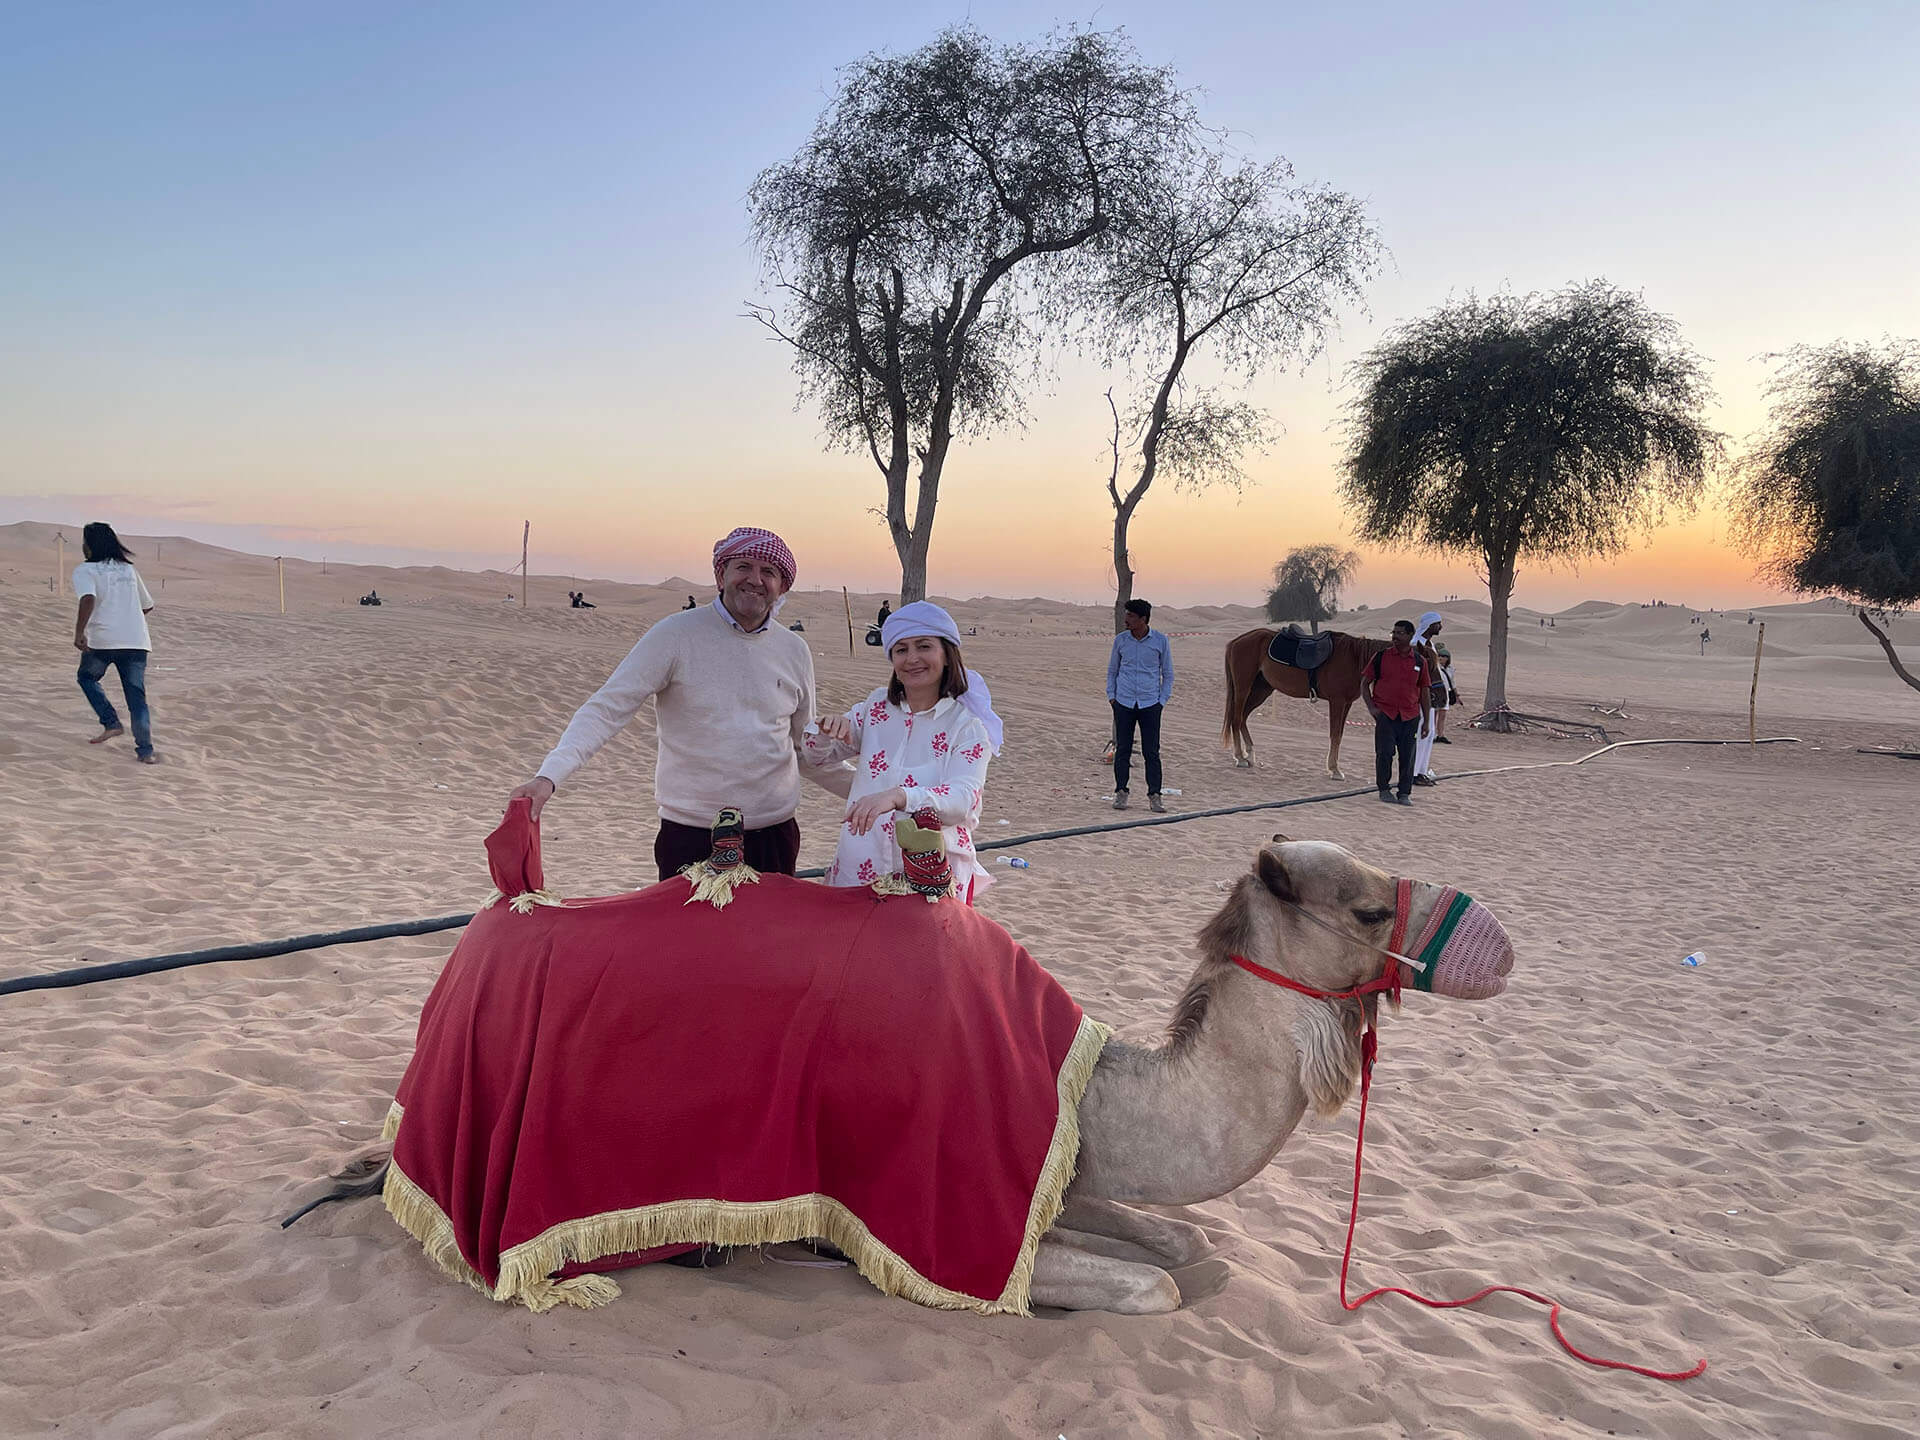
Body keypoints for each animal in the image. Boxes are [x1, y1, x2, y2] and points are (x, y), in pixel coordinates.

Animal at [288, 837, 1513, 1314]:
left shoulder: (1052, 1175)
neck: (1083, 1084)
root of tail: (475, 944)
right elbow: (1156, 1283)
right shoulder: (960, 1218)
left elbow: (1182, 1244)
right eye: (1369, 909)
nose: (1497, 946)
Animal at [1221, 628, 1390, 778]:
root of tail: (1236, 642)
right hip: (1243, 688)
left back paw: (1249, 755)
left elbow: (1340, 735)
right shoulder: (1337, 702)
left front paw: (1334, 767)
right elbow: (1335, 734)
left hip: (1261, 690)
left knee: (1243, 718)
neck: (1354, 658)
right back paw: (1240, 758)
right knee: (1236, 719)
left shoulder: (1347, 703)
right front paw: (1334, 770)